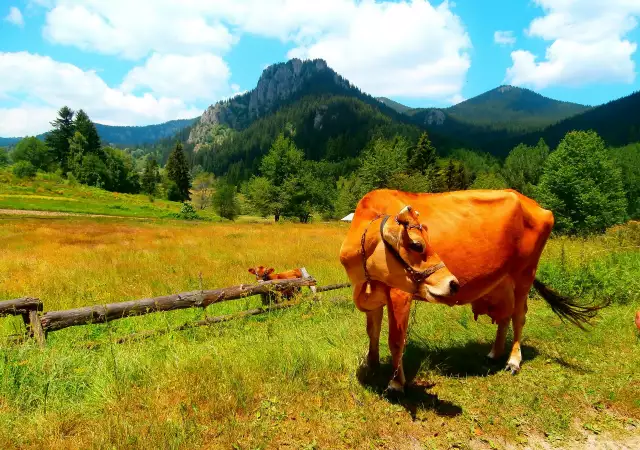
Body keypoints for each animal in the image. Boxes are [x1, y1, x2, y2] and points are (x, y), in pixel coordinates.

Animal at [340, 188, 604, 392]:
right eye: (417, 244)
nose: (452, 283)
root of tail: (533, 203)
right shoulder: (373, 294)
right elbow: (372, 332)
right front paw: (372, 364)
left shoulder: (399, 295)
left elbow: (396, 339)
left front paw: (395, 383)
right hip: (502, 281)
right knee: (505, 316)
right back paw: (494, 353)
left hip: (525, 274)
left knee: (519, 316)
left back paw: (513, 361)